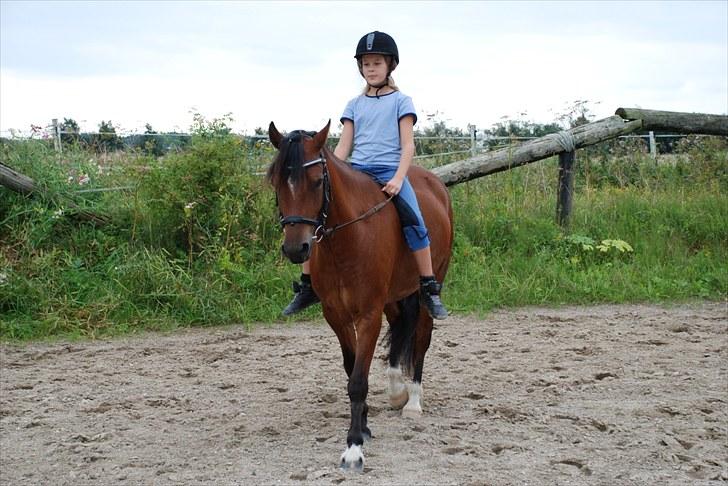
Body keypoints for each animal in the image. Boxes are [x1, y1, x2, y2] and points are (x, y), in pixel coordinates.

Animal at [264, 119, 452, 468]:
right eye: (277, 183)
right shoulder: (335, 315)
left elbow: (358, 381)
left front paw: (353, 447)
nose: (297, 249)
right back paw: (396, 390)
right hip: (392, 297)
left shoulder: (368, 314)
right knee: (400, 330)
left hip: (428, 285)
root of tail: (436, 184)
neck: (347, 239)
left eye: (316, 182)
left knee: (421, 336)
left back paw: (413, 402)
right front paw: (363, 426)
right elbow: (352, 369)